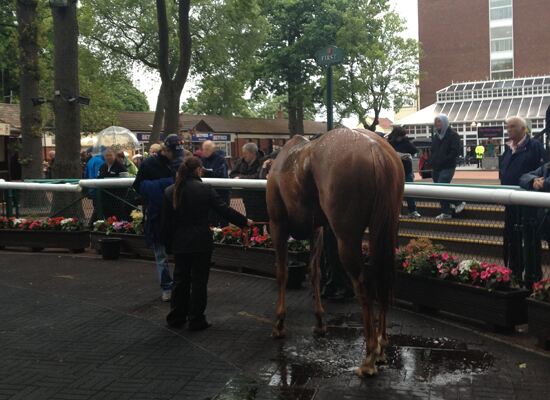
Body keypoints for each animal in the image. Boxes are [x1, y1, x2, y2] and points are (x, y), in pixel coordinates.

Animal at [268, 127, 406, 376]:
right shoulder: (317, 229)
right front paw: (320, 322)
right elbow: (314, 272)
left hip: (346, 238)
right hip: (386, 229)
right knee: (382, 276)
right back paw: (381, 345)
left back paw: (370, 356)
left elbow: (282, 273)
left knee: (363, 282)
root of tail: (375, 148)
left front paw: (279, 324)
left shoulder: (278, 225)